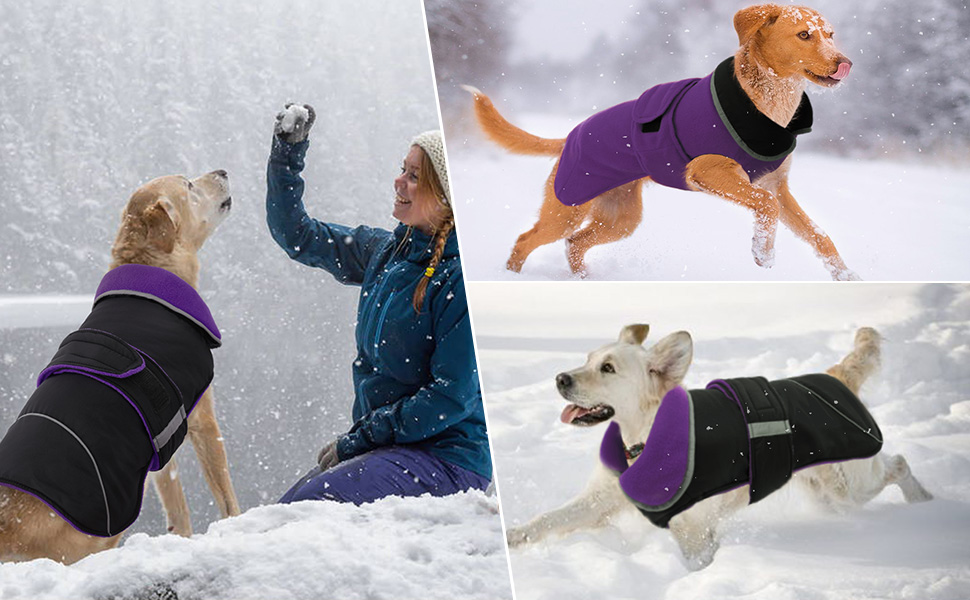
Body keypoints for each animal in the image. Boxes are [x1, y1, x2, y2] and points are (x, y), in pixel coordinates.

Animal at [0, 172, 240, 564]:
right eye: (189, 185)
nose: (222, 172)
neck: (151, 272)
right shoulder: (202, 418)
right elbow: (225, 494)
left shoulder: (160, 443)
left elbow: (177, 505)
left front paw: (181, 540)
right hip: (107, 523)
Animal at [466, 4, 860, 282]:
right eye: (804, 35)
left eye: (830, 34)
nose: (846, 63)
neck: (768, 104)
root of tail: (572, 136)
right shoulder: (711, 172)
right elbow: (765, 206)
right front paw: (763, 253)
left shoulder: (777, 185)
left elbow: (818, 235)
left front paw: (846, 275)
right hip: (567, 207)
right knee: (526, 239)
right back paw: (510, 278)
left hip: (622, 218)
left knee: (574, 243)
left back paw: (581, 280)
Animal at [506, 326, 932, 568]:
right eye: (588, 358)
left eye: (607, 368)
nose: (560, 378)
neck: (642, 438)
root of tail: (835, 376)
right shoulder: (600, 500)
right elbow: (547, 519)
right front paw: (512, 537)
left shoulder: (695, 529)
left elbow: (696, 558)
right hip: (826, 494)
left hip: (849, 484)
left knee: (899, 463)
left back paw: (924, 503)